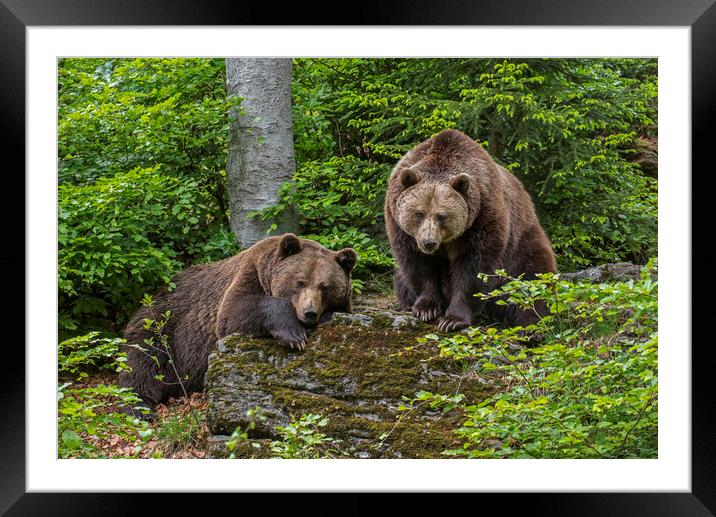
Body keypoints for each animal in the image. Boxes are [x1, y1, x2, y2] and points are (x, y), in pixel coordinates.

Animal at [119, 234, 356, 416]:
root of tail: (152, 295)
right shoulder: (247, 277)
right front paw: (294, 336)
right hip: (162, 324)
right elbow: (235, 311)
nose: (309, 312)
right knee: (143, 362)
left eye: (325, 286)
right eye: (300, 282)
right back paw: (138, 408)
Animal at [386, 128, 560, 330]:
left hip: (522, 245)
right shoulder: (400, 225)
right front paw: (426, 308)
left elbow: (473, 269)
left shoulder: (483, 217)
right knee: (401, 281)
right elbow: (418, 265)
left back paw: (532, 325)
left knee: (533, 281)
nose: (429, 243)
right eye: (418, 213)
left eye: (441, 216)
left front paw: (452, 320)